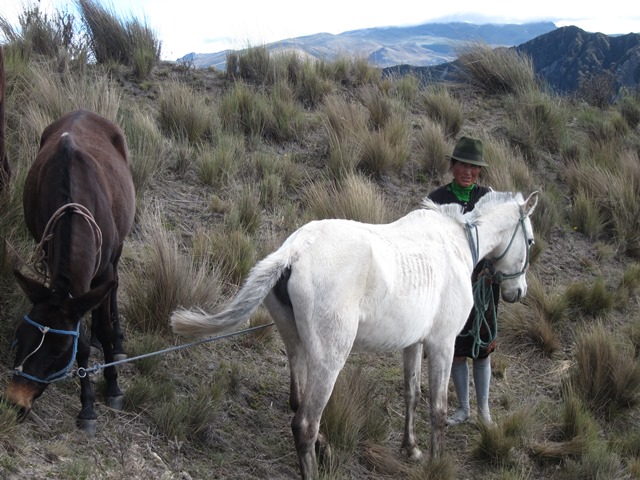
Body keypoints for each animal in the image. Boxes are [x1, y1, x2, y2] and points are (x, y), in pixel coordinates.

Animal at [5, 109, 136, 436]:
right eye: (19, 337)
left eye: (57, 352)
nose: (15, 403)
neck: (73, 206)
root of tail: (84, 112)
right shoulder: (55, 267)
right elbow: (85, 344)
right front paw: (87, 405)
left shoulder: (102, 272)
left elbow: (101, 321)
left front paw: (111, 388)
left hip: (118, 248)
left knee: (115, 287)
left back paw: (116, 343)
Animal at [169, 190, 536, 480]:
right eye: (530, 240)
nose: (518, 291)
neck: (456, 243)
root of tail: (295, 250)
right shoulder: (442, 344)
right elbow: (438, 408)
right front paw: (436, 463)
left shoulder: (414, 344)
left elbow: (412, 394)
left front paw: (411, 448)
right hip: (331, 359)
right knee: (305, 424)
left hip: (296, 345)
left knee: (298, 401)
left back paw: (326, 447)